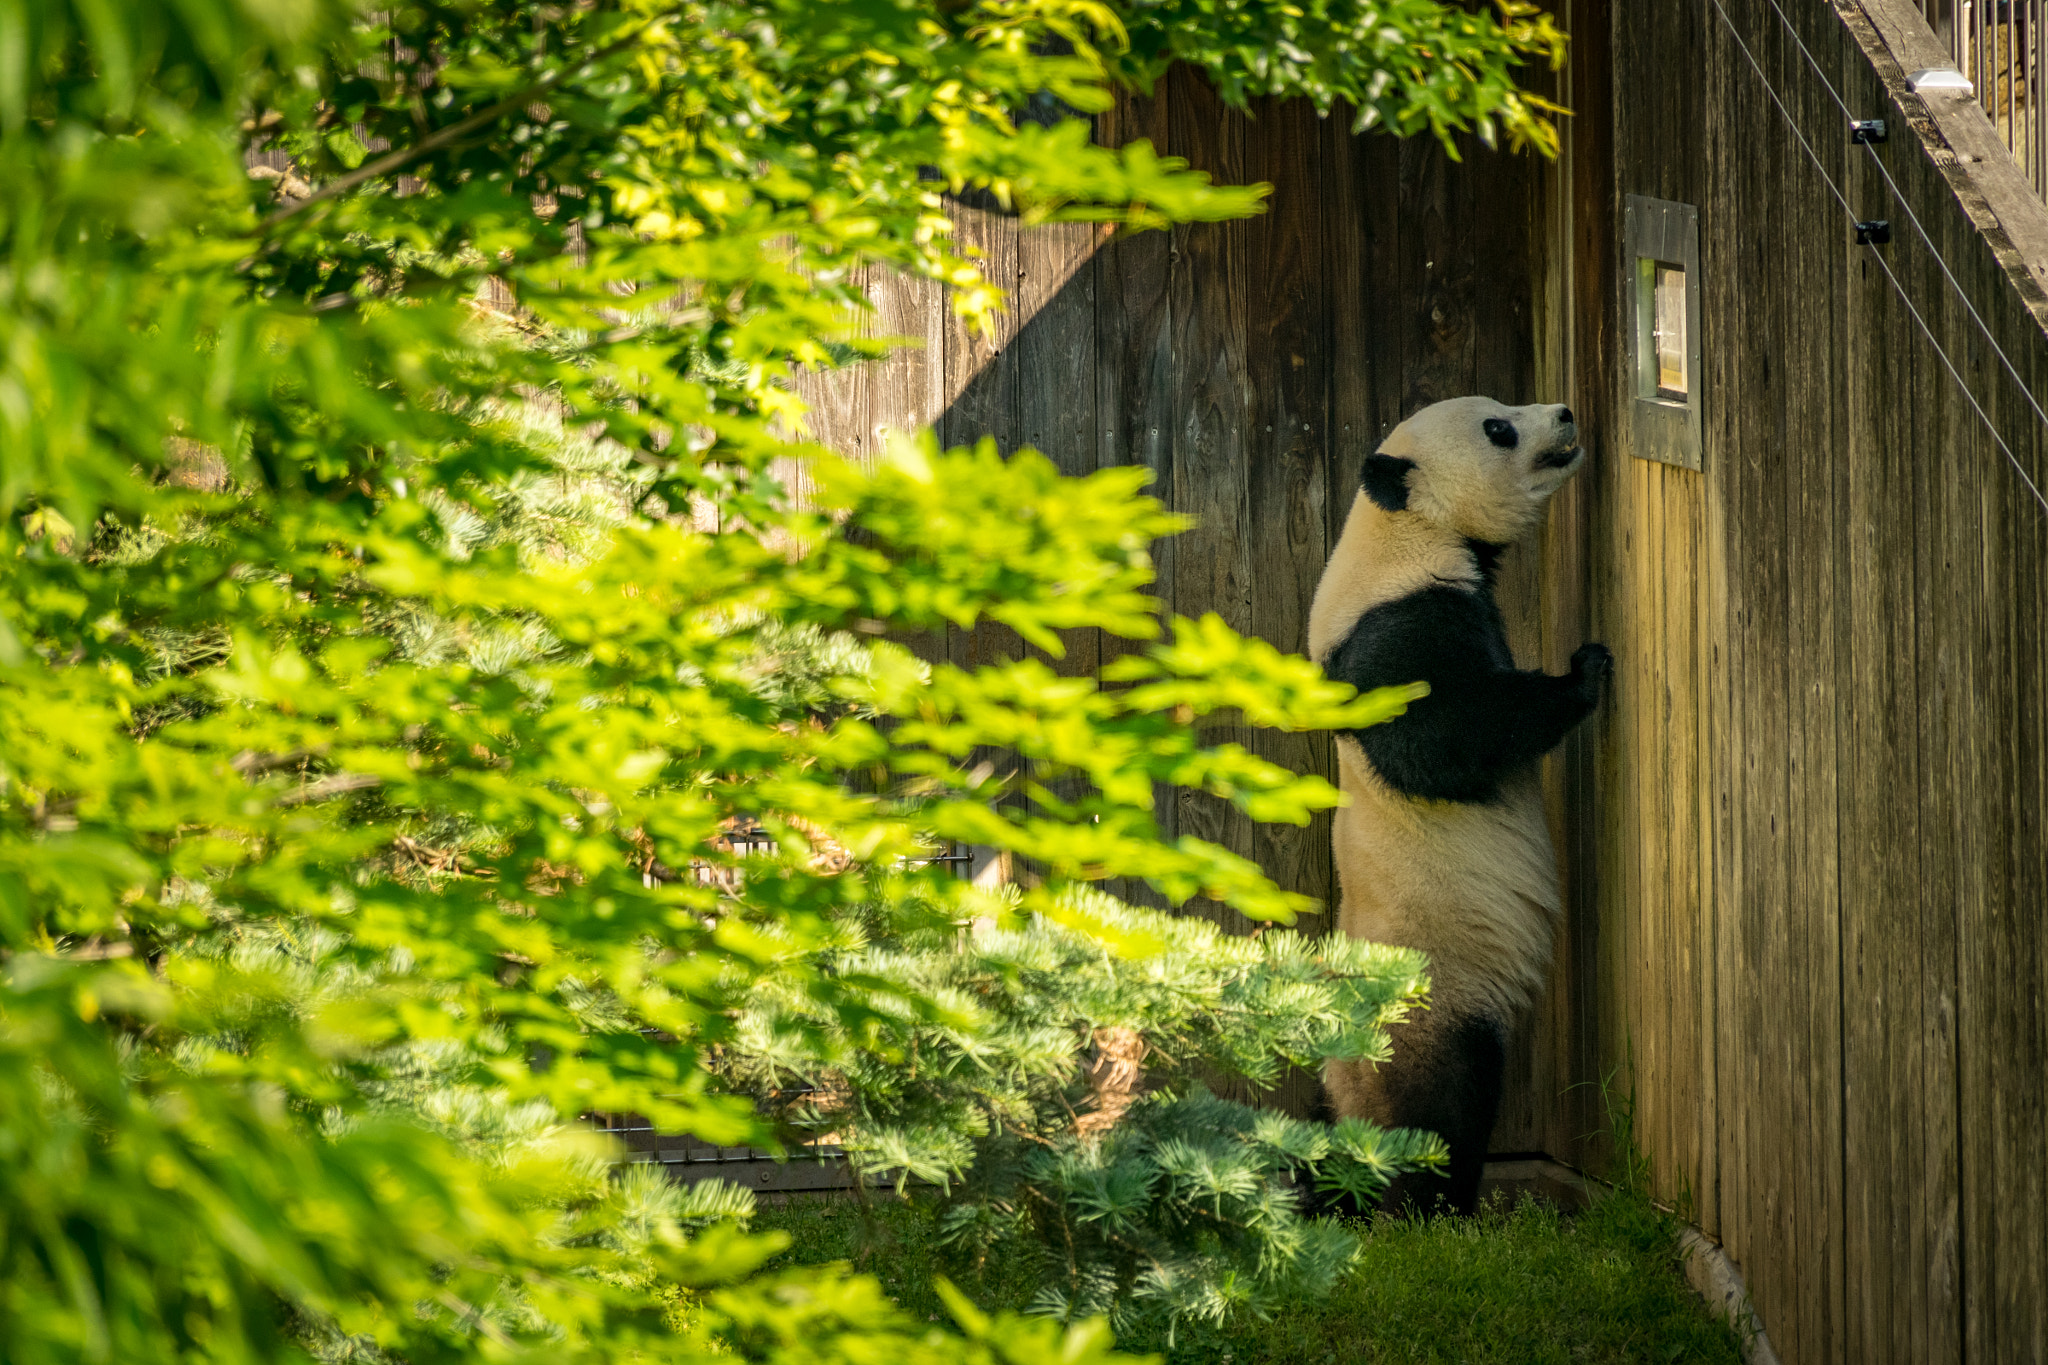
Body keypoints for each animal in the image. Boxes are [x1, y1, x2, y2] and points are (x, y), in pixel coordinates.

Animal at [1308, 395, 1609, 1217]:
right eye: (1498, 429)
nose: (1565, 412)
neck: (1405, 526)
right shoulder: (1398, 625)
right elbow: (1444, 741)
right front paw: (1583, 672)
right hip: (1436, 998)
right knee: (1443, 1106)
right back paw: (1436, 1208)